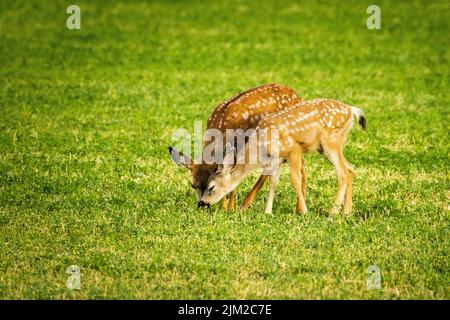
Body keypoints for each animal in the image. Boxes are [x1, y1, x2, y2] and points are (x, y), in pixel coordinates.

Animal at [168, 84, 302, 211]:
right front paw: (223, 206)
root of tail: (296, 94)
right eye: (193, 185)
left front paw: (230, 208)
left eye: (210, 186)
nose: (201, 205)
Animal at [199, 99, 368, 215]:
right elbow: (273, 182)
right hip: (328, 147)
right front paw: (268, 211)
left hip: (331, 142)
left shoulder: (293, 149)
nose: (201, 203)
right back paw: (346, 211)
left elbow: (295, 180)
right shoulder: (277, 159)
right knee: (350, 168)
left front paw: (304, 210)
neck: (260, 146)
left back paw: (332, 212)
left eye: (211, 187)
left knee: (342, 173)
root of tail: (350, 110)